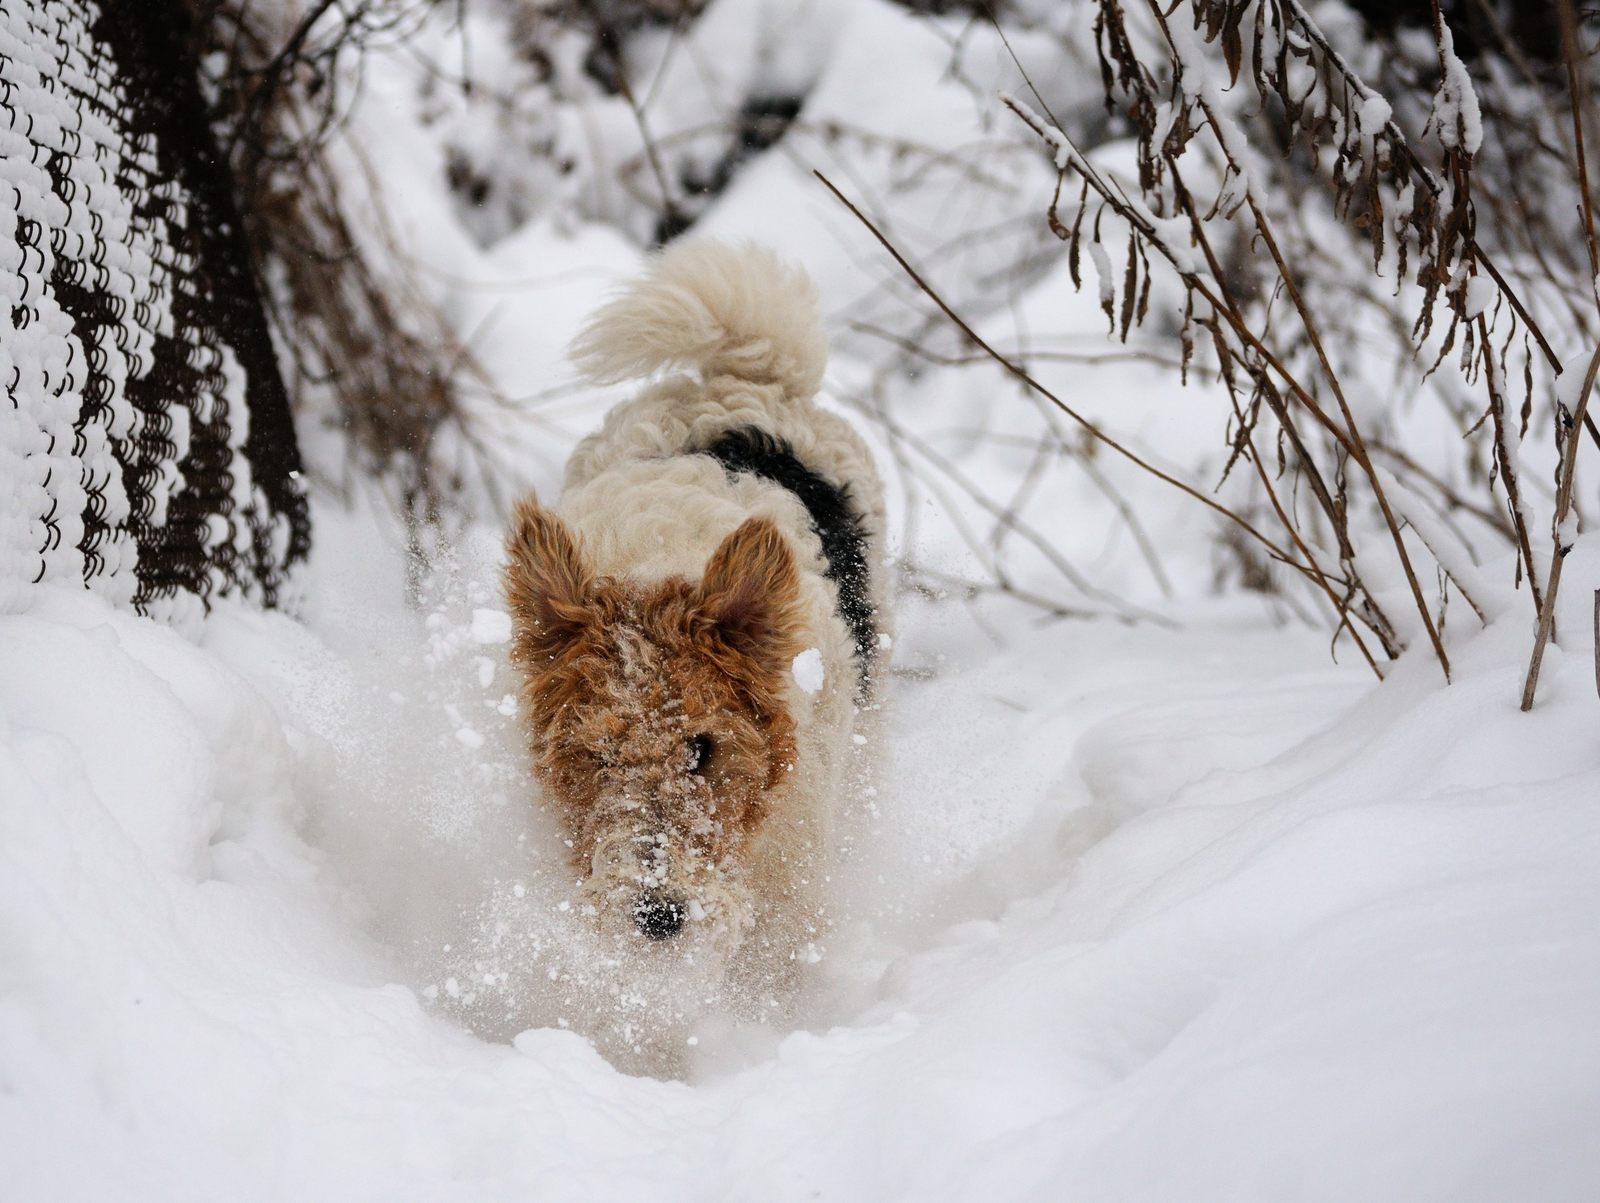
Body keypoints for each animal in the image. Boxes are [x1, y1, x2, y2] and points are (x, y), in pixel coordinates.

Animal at [502, 241, 889, 1017]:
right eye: (597, 754)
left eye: (703, 748)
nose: (659, 916)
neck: (653, 571)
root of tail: (745, 379)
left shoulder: (793, 855)